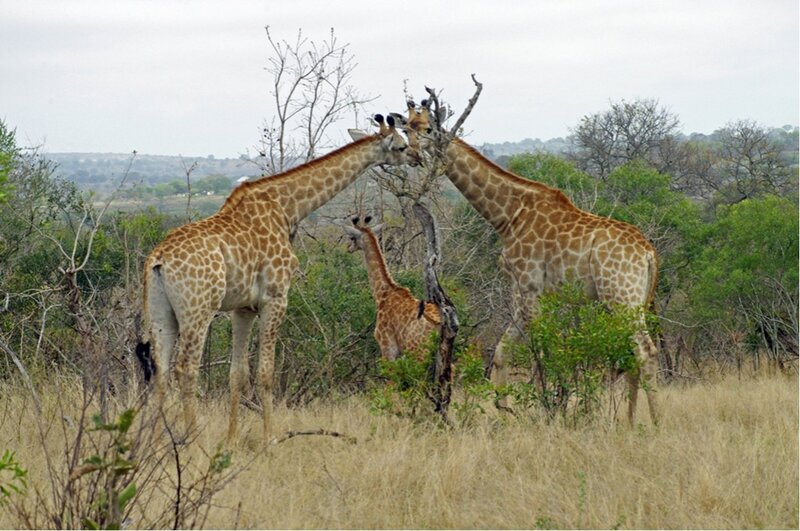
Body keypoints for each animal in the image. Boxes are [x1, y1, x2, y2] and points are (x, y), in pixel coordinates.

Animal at [136, 115, 418, 441]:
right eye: (401, 146)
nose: (419, 158)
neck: (288, 207)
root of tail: (158, 260)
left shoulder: (242, 308)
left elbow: (237, 374)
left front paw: (231, 440)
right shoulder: (276, 297)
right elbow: (266, 374)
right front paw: (269, 438)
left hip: (160, 312)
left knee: (160, 371)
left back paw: (154, 444)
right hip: (199, 309)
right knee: (186, 368)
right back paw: (193, 441)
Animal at [405, 101, 660, 425]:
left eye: (427, 129)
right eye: (405, 127)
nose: (411, 154)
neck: (507, 215)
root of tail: (648, 252)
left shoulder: (529, 287)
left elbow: (542, 352)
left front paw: (546, 411)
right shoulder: (521, 290)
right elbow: (503, 351)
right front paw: (504, 411)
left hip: (621, 297)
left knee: (646, 351)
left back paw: (655, 422)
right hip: (630, 301)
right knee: (634, 353)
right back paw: (628, 421)